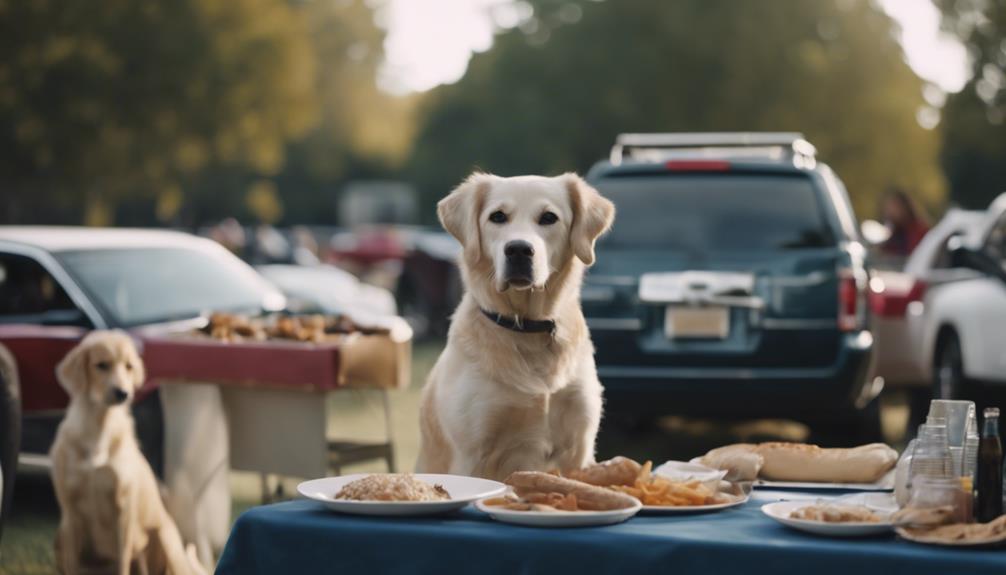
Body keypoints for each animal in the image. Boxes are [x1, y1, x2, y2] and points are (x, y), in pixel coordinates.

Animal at [49, 331, 206, 575]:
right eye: (101, 365)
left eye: (129, 366)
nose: (123, 393)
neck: (98, 429)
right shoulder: (69, 510)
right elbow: (73, 563)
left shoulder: (123, 509)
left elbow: (122, 561)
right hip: (60, 537)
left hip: (167, 540)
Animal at [414, 171, 611, 480]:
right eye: (497, 216)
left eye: (548, 217)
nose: (518, 250)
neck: (527, 326)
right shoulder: (472, 453)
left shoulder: (579, 448)